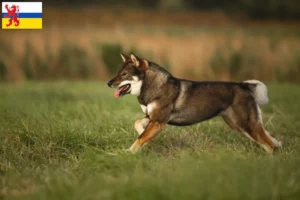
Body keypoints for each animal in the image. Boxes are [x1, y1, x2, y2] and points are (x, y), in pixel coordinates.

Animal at [107, 52, 282, 153]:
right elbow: (138, 125)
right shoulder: (153, 118)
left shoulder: (158, 121)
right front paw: (145, 136)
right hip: (239, 125)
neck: (152, 85)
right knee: (270, 141)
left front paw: (128, 152)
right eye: (118, 72)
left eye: (124, 74)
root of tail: (244, 85)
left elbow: (140, 138)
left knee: (270, 145)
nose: (108, 83)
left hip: (246, 125)